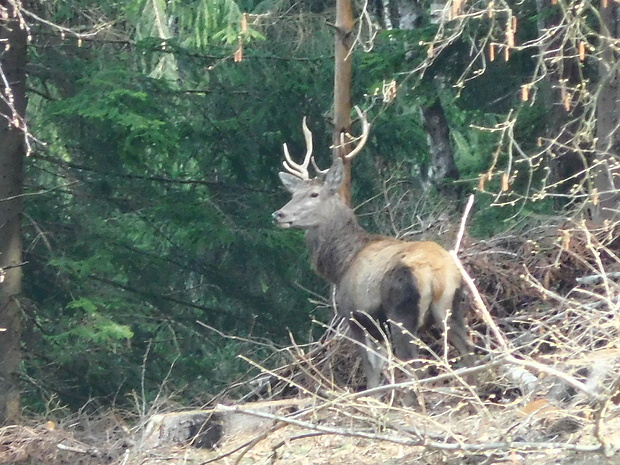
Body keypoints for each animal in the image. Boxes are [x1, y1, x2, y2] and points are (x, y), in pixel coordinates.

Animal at [272, 110, 470, 390]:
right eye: (293, 193)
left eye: (314, 194)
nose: (278, 214)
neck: (341, 264)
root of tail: (435, 273)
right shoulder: (377, 326)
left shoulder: (354, 317)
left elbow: (373, 373)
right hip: (451, 307)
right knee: (472, 357)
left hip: (401, 312)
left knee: (416, 370)